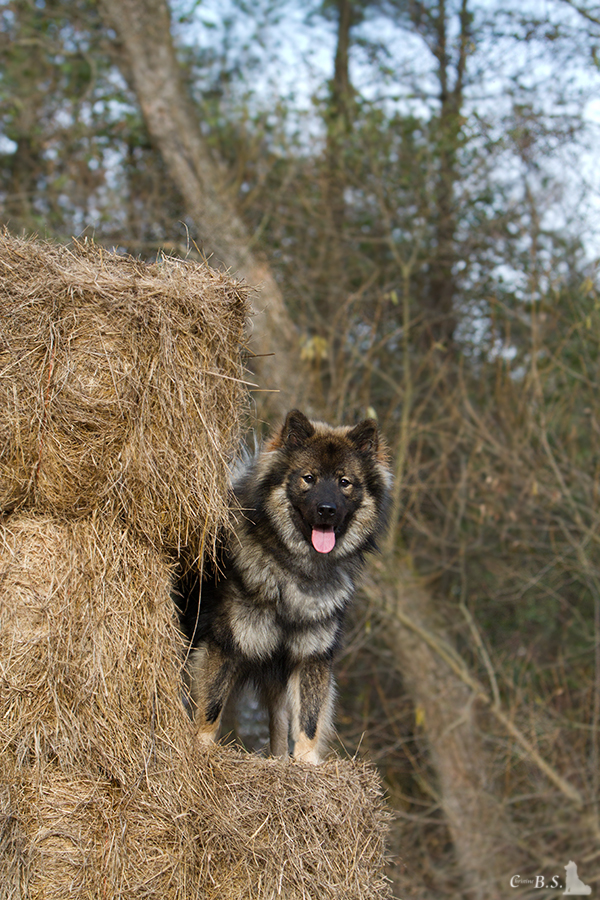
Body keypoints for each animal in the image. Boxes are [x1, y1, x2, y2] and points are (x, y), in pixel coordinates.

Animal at [171, 412, 392, 764]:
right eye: (308, 478)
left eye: (344, 482)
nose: (327, 509)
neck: (296, 572)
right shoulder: (223, 644)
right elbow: (210, 708)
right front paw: (202, 750)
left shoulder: (311, 655)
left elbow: (309, 721)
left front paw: (305, 762)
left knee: (279, 722)